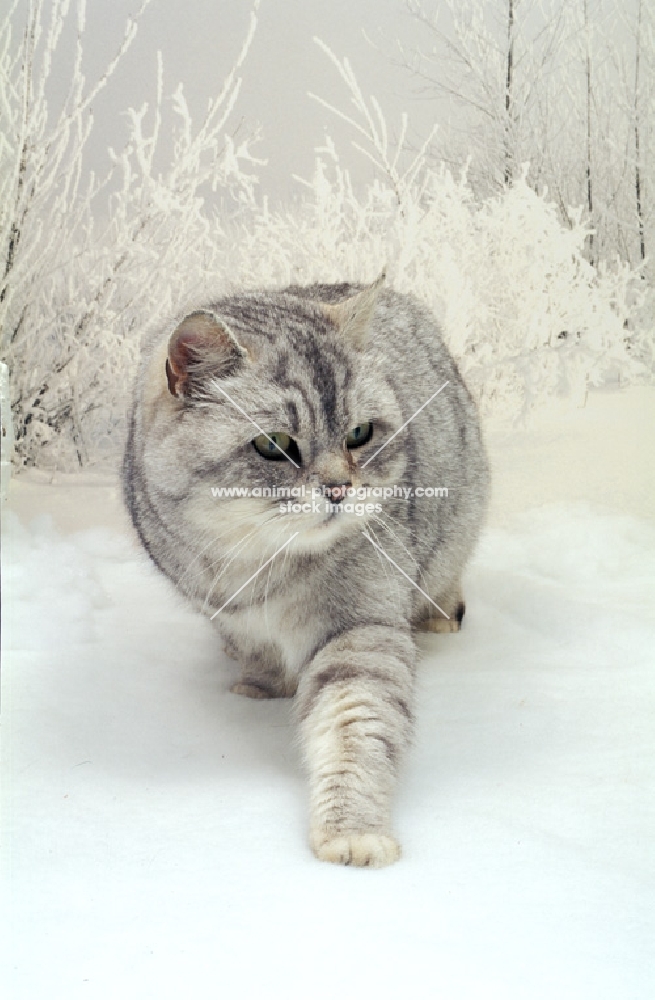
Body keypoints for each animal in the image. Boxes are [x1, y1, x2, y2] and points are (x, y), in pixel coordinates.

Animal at [125, 274, 490, 868]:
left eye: (360, 433)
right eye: (274, 445)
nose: (340, 489)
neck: (258, 563)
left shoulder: (358, 628)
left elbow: (354, 724)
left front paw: (353, 830)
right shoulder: (220, 606)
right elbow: (255, 650)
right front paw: (258, 685)